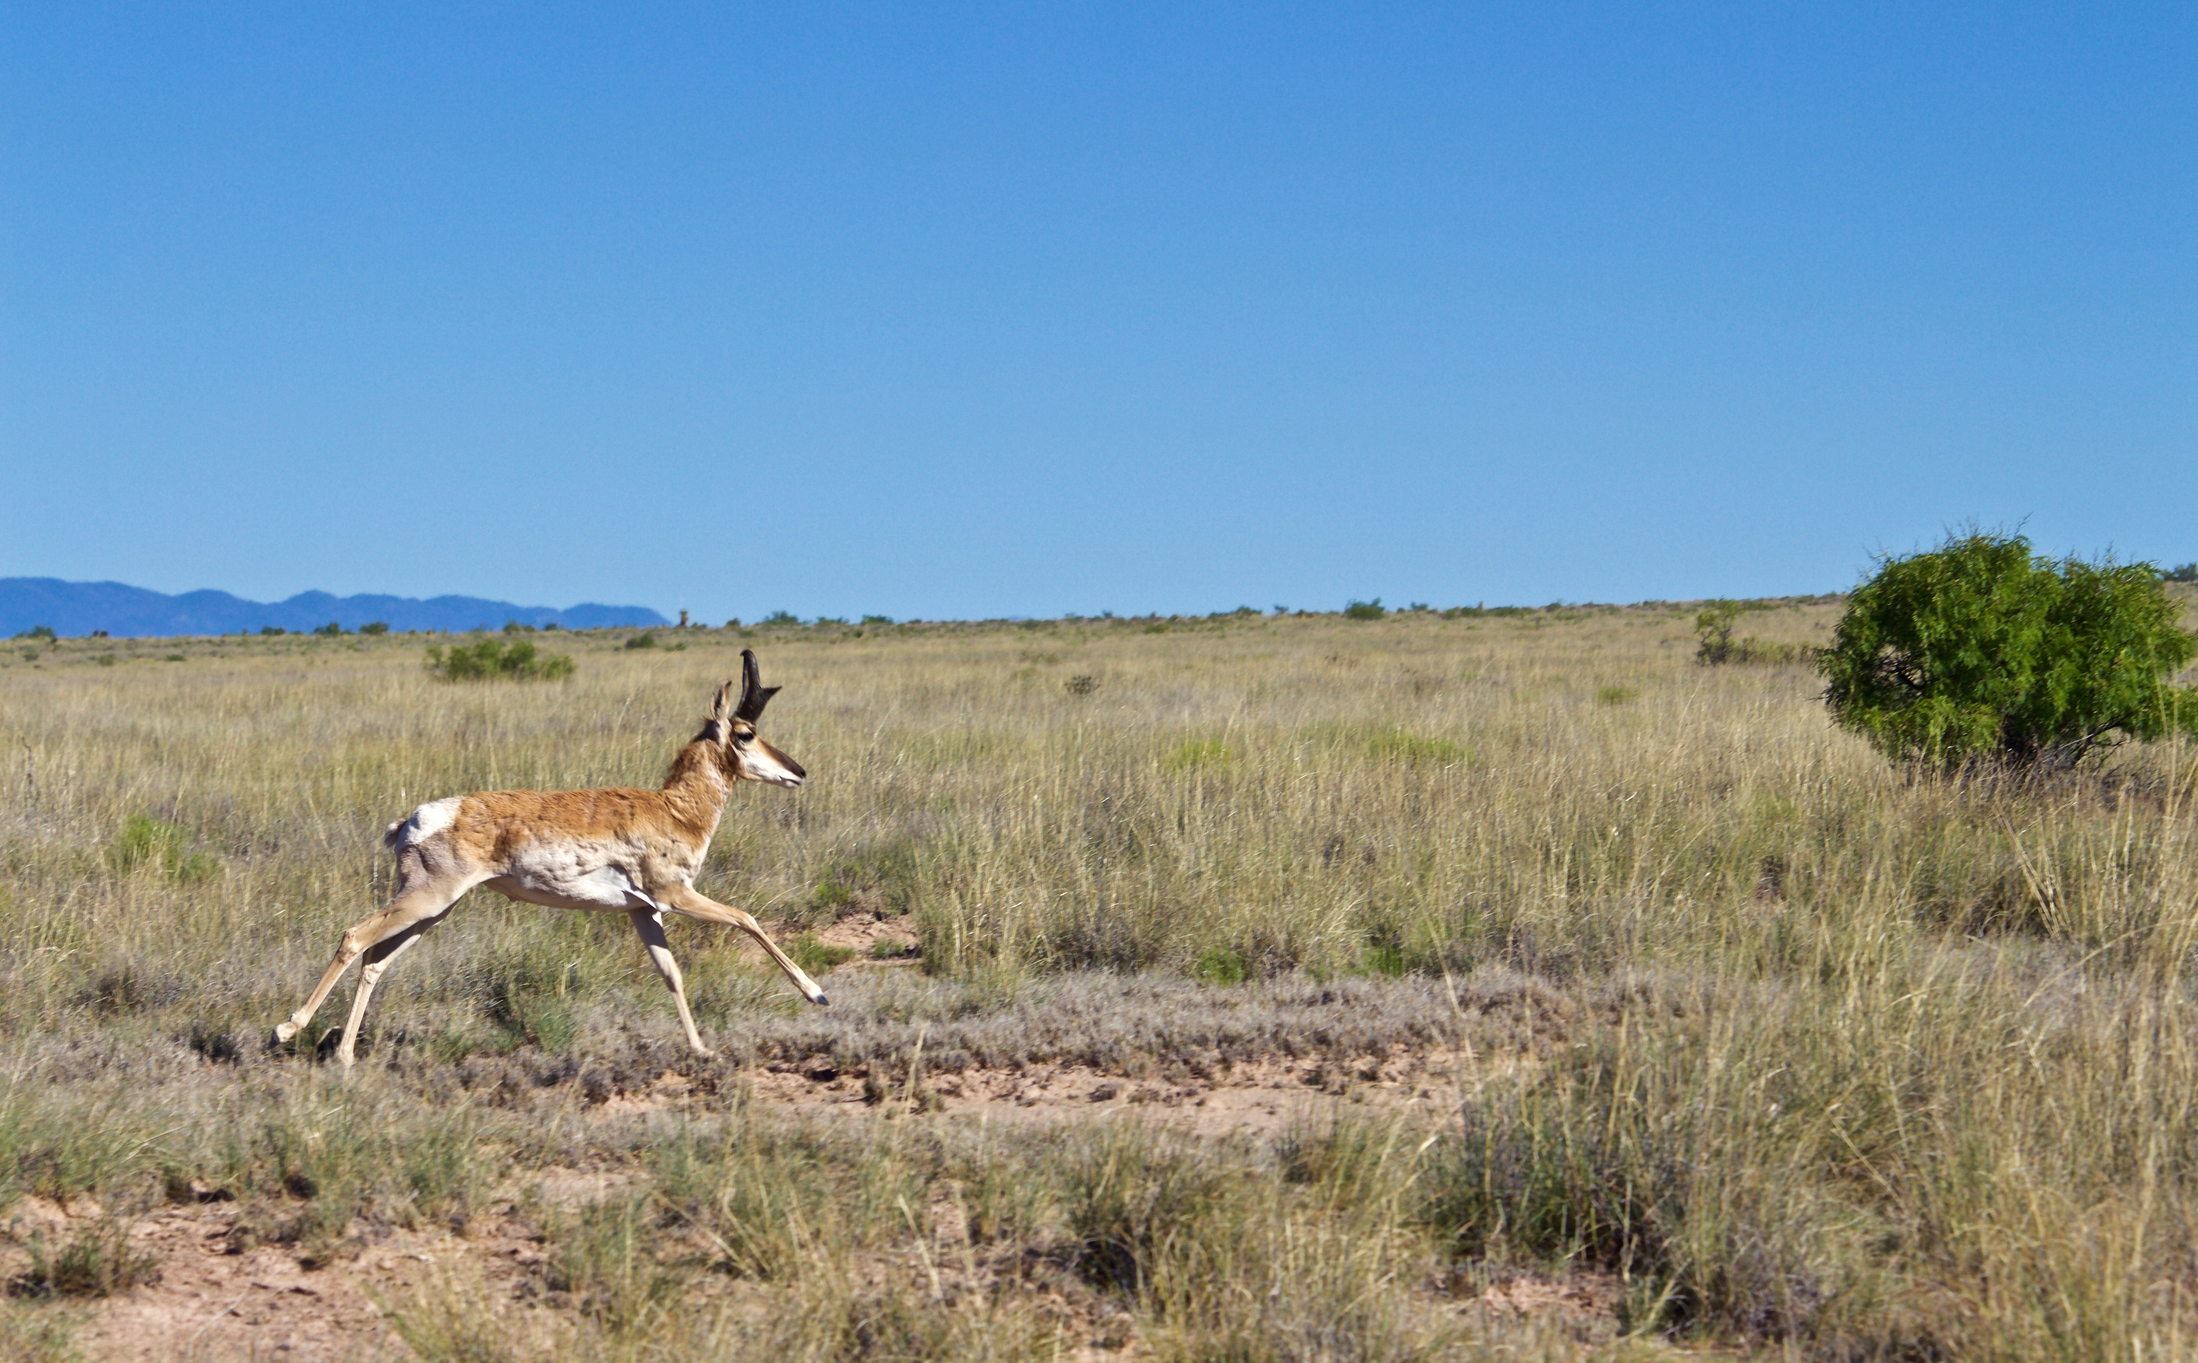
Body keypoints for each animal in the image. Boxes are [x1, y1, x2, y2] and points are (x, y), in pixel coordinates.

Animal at [270, 650, 826, 1064]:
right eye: (745, 734)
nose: (798, 771)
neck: (674, 808)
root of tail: (415, 819)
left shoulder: (643, 911)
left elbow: (672, 974)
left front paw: (701, 1049)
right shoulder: (675, 895)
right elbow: (747, 918)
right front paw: (816, 993)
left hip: (432, 912)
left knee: (374, 960)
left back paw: (344, 1055)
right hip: (425, 902)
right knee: (354, 937)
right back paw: (286, 1030)